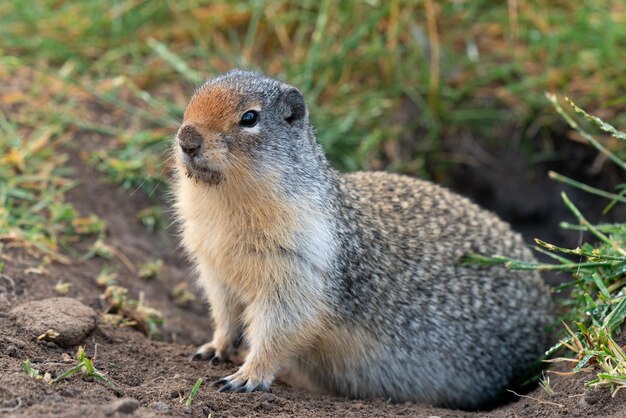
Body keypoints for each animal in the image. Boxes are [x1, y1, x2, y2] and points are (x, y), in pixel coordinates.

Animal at [172, 70, 552, 410]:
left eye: (250, 117)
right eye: (193, 99)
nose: (187, 139)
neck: (226, 205)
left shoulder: (300, 268)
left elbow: (281, 327)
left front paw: (246, 376)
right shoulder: (214, 267)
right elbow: (225, 313)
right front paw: (213, 348)